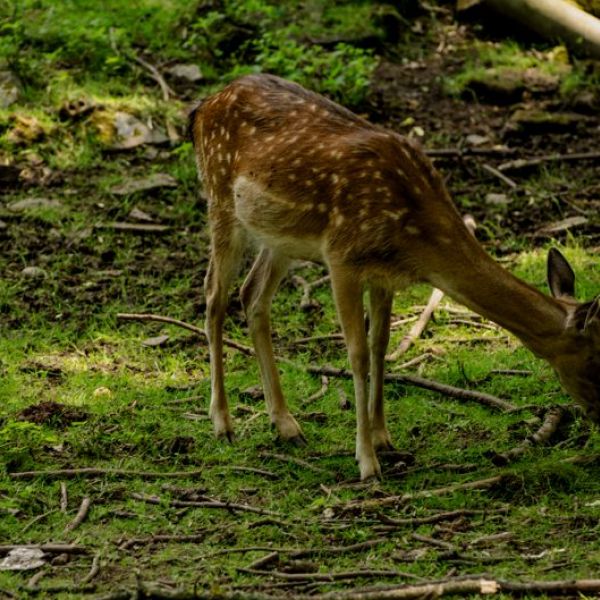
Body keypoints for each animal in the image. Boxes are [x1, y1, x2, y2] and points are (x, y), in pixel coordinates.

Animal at [191, 72, 600, 480]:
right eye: (596, 360)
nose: (597, 416)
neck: (415, 240)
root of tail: (204, 106)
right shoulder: (341, 256)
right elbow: (357, 354)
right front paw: (367, 461)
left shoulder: (383, 275)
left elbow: (380, 346)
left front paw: (383, 438)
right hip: (220, 199)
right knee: (213, 296)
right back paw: (223, 424)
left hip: (277, 235)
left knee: (252, 295)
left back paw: (286, 425)